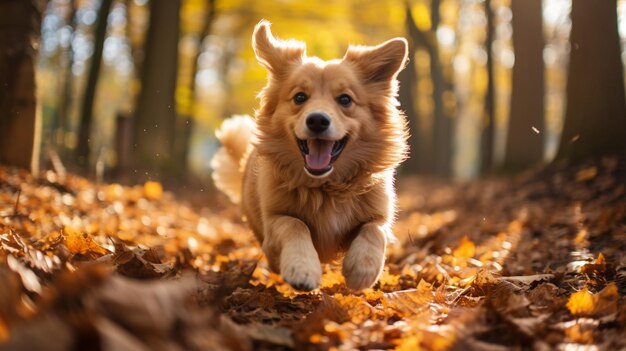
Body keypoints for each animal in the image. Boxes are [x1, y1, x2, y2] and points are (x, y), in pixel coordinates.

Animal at [211, 20, 410, 292]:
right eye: (300, 97)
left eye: (345, 99)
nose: (317, 120)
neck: (325, 187)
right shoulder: (275, 219)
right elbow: (296, 225)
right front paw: (302, 267)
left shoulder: (379, 215)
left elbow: (374, 230)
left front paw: (362, 268)